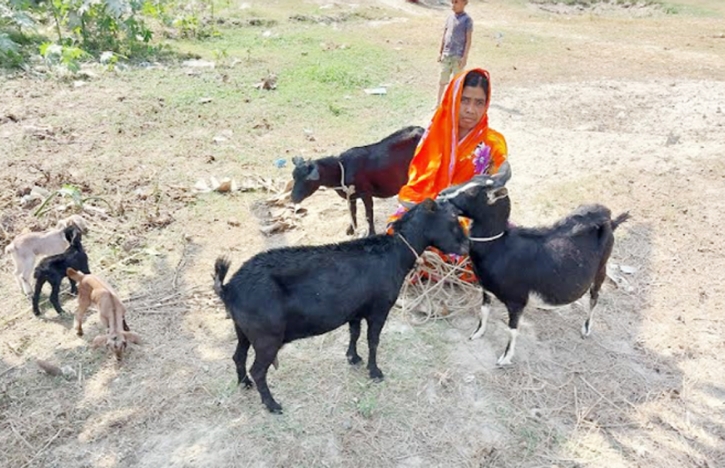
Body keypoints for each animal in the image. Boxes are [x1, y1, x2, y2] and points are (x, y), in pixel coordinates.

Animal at [212, 197, 466, 414]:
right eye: (453, 217)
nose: (466, 247)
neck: (395, 253)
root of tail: (229, 288)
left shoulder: (355, 310)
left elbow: (354, 333)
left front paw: (353, 357)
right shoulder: (380, 309)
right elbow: (373, 340)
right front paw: (375, 372)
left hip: (243, 329)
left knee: (238, 356)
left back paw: (244, 384)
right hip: (267, 335)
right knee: (258, 370)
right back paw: (272, 404)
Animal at [290, 125, 424, 236]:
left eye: (308, 179)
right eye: (293, 176)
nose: (293, 198)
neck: (342, 170)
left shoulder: (366, 193)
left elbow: (368, 215)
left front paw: (371, 233)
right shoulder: (351, 196)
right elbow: (352, 212)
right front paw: (351, 230)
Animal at [438, 165, 632, 366]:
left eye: (471, 192)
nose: (441, 194)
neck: (499, 246)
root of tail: (611, 220)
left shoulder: (517, 299)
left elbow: (512, 329)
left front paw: (505, 358)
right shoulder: (486, 289)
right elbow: (483, 312)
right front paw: (477, 334)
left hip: (602, 268)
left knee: (594, 297)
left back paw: (586, 328)